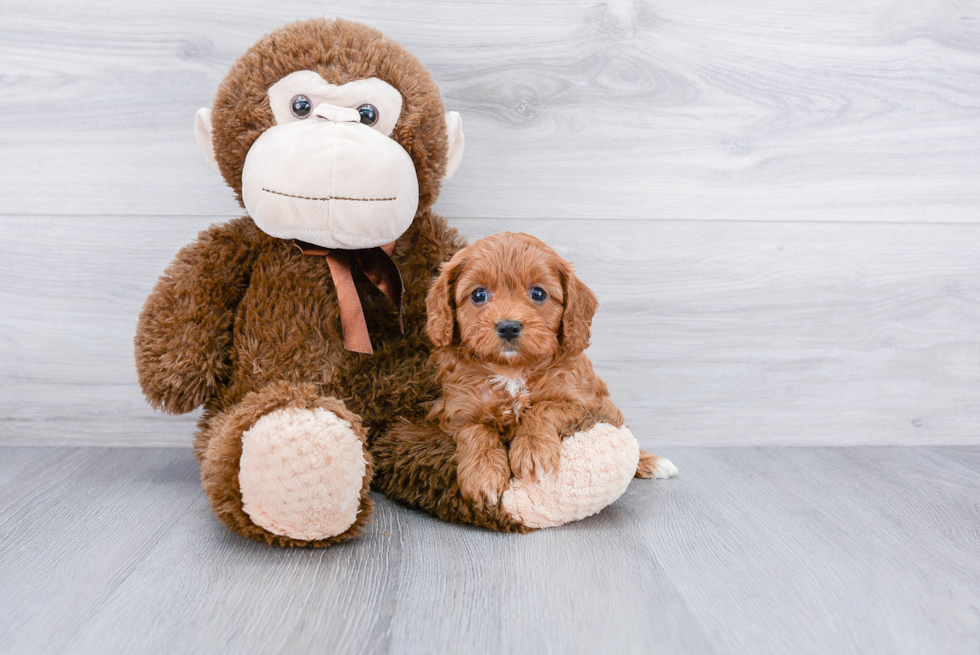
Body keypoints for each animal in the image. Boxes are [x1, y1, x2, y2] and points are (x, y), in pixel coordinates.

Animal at [424, 233, 676, 510]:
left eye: (538, 293)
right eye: (478, 294)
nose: (508, 327)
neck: (512, 370)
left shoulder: (587, 404)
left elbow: (544, 407)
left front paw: (533, 451)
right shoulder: (455, 412)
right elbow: (475, 429)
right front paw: (484, 474)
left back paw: (652, 462)